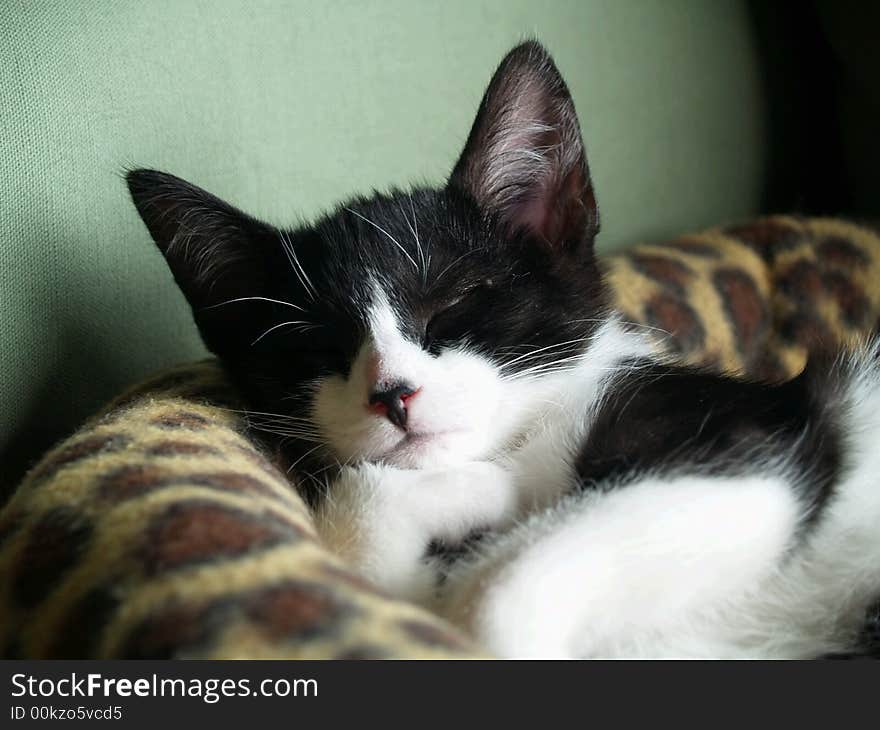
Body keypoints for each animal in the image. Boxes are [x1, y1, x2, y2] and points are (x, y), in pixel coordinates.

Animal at [127, 41, 880, 660]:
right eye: (316, 348)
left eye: (453, 306)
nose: (392, 393)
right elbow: (372, 550)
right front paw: (479, 492)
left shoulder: (755, 441)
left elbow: (491, 602)